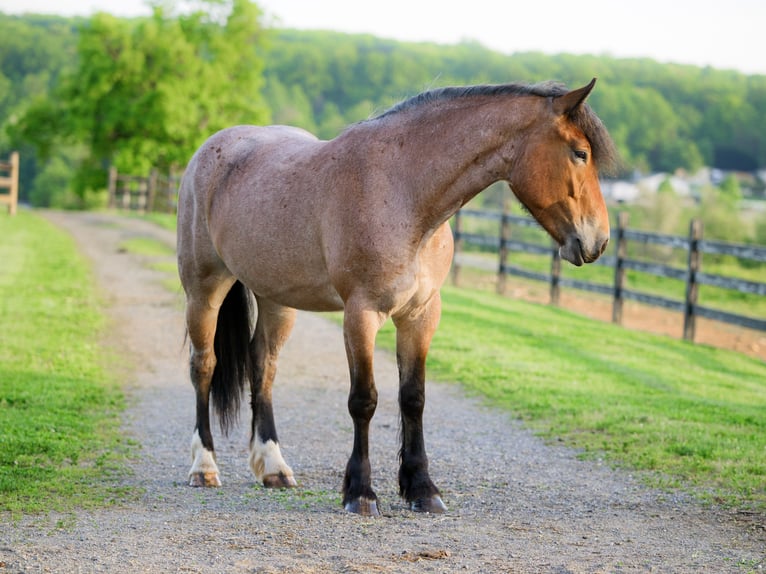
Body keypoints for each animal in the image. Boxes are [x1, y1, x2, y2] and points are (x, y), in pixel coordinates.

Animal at [176, 78, 618, 516]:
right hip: (204, 289)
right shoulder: (361, 314)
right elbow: (364, 399)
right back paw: (204, 466)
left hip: (276, 299)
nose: (598, 241)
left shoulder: (421, 315)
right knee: (204, 365)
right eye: (580, 153)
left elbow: (413, 398)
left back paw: (273, 467)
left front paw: (422, 488)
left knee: (263, 366)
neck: (404, 193)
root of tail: (211, 149)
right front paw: (360, 493)